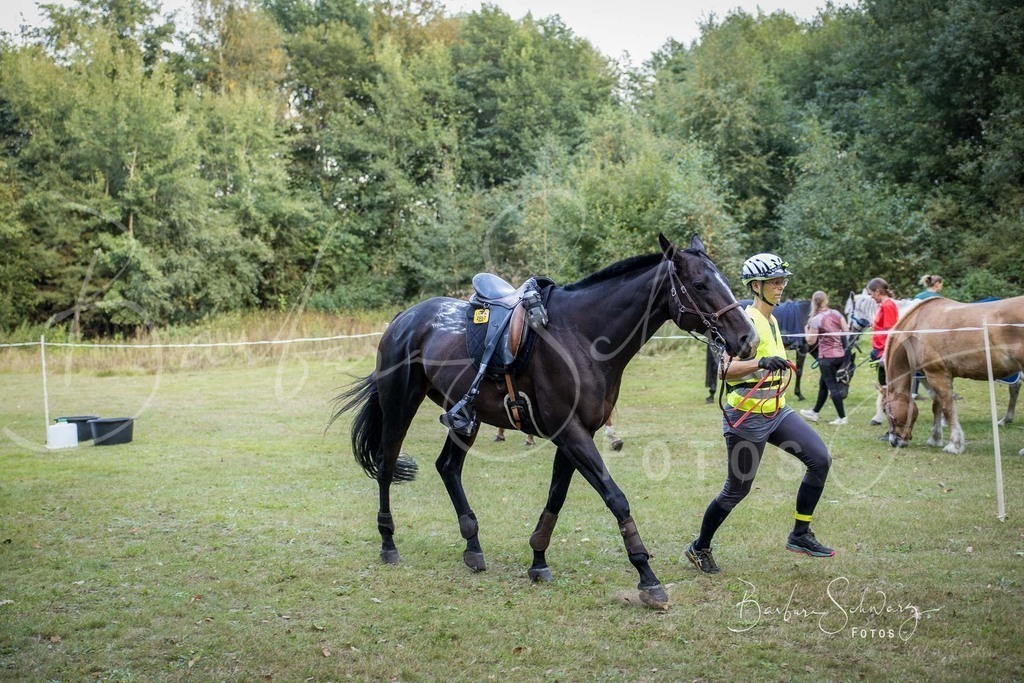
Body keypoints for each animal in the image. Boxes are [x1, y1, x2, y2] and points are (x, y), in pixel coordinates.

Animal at [330, 234, 757, 610]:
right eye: (700, 284)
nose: (748, 338)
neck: (582, 337)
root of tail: (405, 318)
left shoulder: (574, 436)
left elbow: (556, 498)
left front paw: (538, 560)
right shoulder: (571, 434)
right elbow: (616, 498)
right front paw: (647, 577)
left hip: (466, 417)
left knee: (447, 467)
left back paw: (473, 546)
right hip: (400, 404)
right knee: (386, 466)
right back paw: (388, 543)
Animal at [883, 296, 1024, 454]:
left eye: (886, 410)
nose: (894, 441)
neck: (918, 326)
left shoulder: (937, 375)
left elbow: (947, 408)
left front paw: (954, 445)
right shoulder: (937, 377)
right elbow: (937, 405)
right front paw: (935, 438)